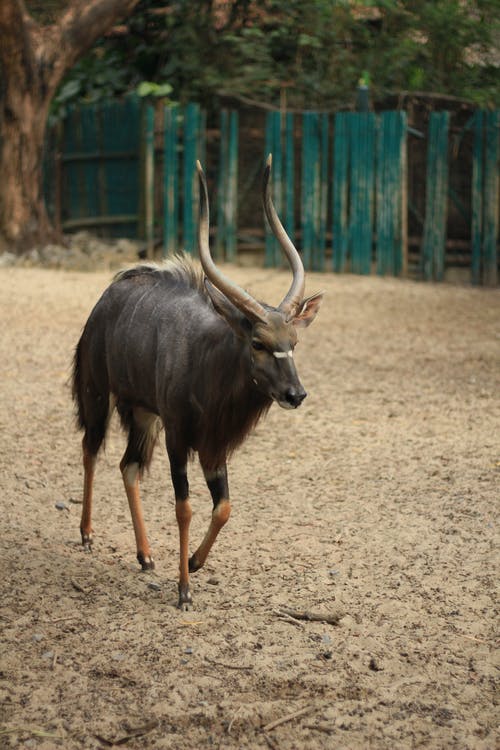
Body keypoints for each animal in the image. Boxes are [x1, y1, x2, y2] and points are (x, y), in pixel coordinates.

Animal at [73, 154, 324, 612]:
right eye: (258, 342)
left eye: (293, 342)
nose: (295, 395)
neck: (207, 362)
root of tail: (106, 298)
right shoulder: (179, 437)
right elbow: (184, 507)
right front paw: (185, 590)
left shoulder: (212, 445)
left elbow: (223, 507)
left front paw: (194, 561)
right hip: (99, 394)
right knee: (91, 449)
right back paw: (86, 534)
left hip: (142, 414)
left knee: (128, 466)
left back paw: (146, 555)